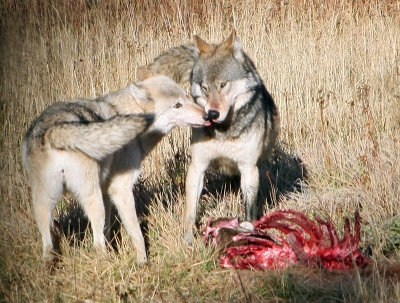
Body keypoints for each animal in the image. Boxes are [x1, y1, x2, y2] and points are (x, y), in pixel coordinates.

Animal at [22, 67, 208, 264]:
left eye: (187, 98)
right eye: (177, 105)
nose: (207, 115)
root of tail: (53, 131)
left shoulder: (106, 190)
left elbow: (108, 229)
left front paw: (116, 250)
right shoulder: (121, 189)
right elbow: (136, 233)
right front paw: (142, 262)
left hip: (45, 202)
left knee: (48, 247)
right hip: (91, 199)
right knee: (97, 243)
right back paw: (107, 263)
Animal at [150, 30, 282, 243]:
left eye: (223, 84)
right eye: (204, 87)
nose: (211, 114)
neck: (224, 131)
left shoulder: (248, 168)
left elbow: (250, 208)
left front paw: (248, 230)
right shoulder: (198, 166)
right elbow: (190, 211)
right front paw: (188, 240)